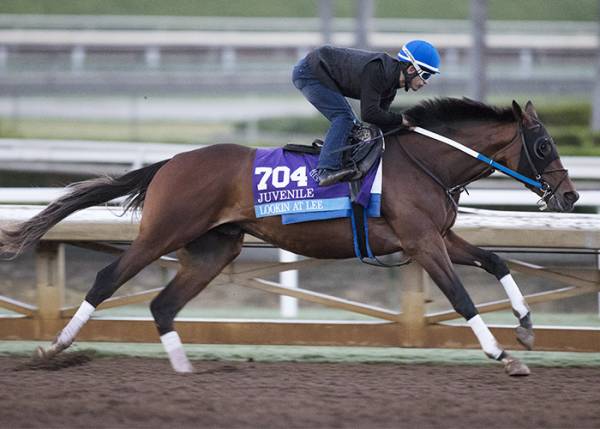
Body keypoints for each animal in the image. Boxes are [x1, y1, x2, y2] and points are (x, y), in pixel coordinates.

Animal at [1, 98, 580, 374]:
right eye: (544, 146)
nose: (571, 197)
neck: (425, 163)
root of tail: (169, 163)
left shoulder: (437, 237)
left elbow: (496, 260)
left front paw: (527, 329)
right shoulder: (421, 242)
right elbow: (461, 298)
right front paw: (503, 355)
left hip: (214, 249)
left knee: (163, 305)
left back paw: (186, 368)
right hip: (163, 233)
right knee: (106, 277)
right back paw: (55, 347)